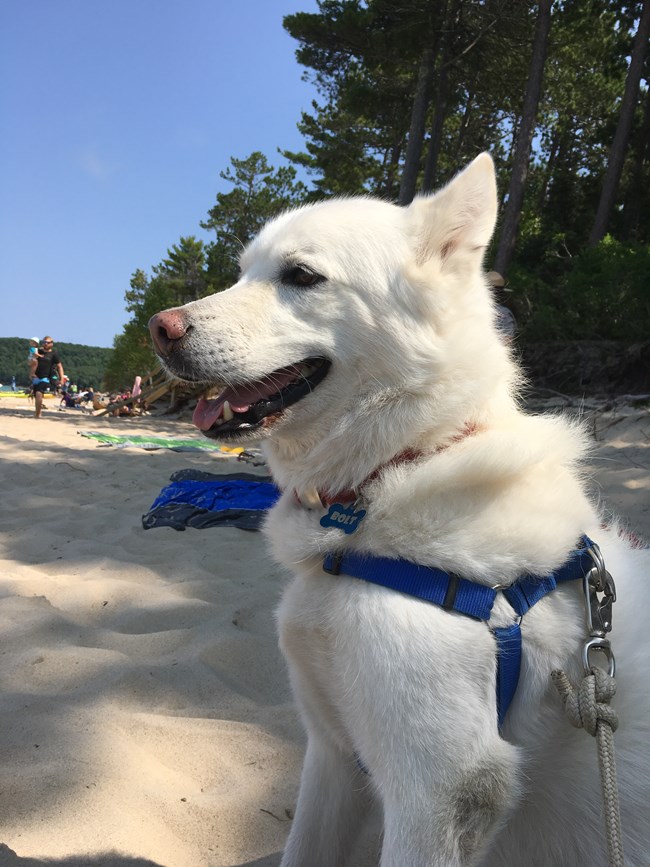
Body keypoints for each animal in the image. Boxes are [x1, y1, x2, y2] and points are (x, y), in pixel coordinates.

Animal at [149, 156, 644, 867]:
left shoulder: (436, 790)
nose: (159, 328)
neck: (403, 464)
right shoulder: (332, 754)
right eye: (243, 272)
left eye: (301, 276)